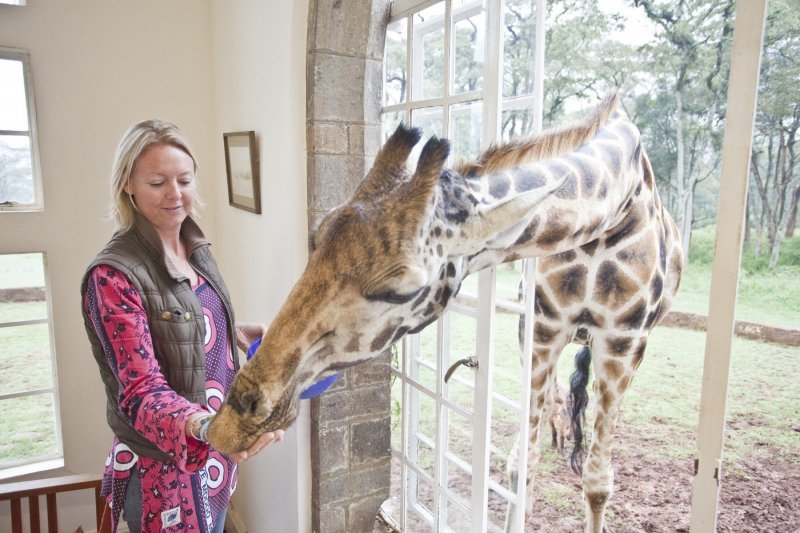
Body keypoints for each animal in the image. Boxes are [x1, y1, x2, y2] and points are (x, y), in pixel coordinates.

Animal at [206, 91, 680, 528]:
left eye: (402, 288)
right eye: (316, 238)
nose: (229, 424)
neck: (610, 212)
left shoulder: (625, 341)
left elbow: (598, 484)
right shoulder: (542, 329)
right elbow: (520, 469)